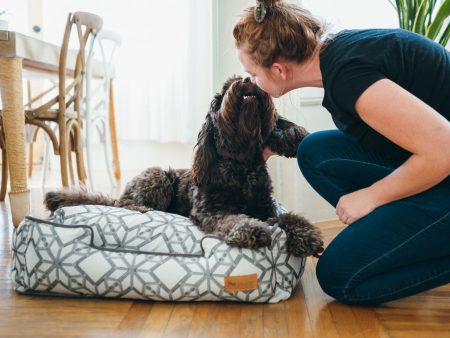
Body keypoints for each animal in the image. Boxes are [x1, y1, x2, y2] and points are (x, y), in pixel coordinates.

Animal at [45, 75, 324, 258]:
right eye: (222, 94)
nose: (247, 79)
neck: (241, 165)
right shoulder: (210, 211)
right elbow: (232, 218)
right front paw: (251, 229)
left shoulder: (266, 208)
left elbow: (288, 216)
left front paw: (307, 234)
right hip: (158, 176)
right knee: (125, 203)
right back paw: (140, 207)